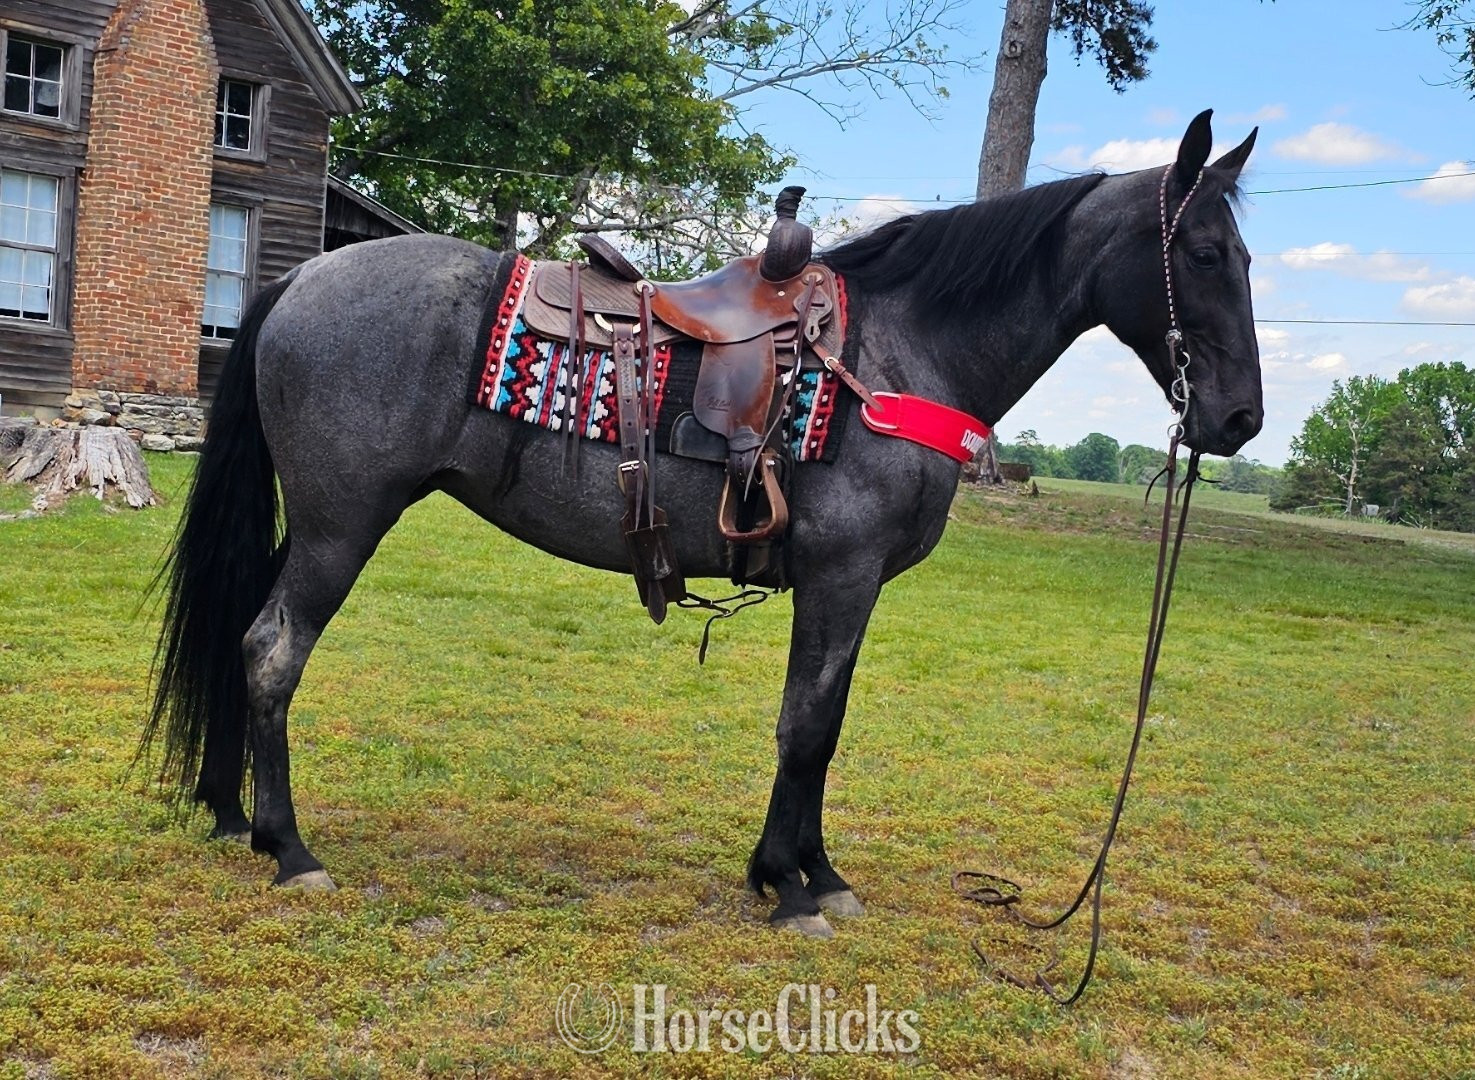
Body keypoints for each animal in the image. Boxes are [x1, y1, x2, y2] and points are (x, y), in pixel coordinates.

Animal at [146, 110, 1262, 939]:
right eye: (1206, 252)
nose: (1239, 420)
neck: (898, 355)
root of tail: (302, 276)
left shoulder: (847, 588)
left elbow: (826, 723)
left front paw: (815, 871)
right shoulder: (841, 573)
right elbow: (806, 725)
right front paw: (788, 886)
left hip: (313, 524)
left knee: (242, 637)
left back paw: (231, 811)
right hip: (342, 527)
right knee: (272, 649)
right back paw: (290, 849)